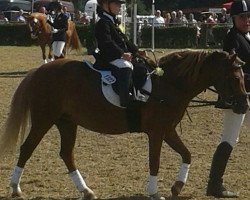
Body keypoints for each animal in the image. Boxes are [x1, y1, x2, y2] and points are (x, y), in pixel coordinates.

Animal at [0, 50, 249, 200]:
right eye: (236, 78)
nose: (244, 105)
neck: (169, 84)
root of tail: (39, 71)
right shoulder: (157, 132)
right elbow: (155, 162)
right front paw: (154, 192)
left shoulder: (167, 130)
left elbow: (187, 154)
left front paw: (177, 186)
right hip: (44, 119)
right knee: (27, 148)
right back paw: (15, 188)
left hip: (67, 122)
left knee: (66, 154)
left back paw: (86, 191)